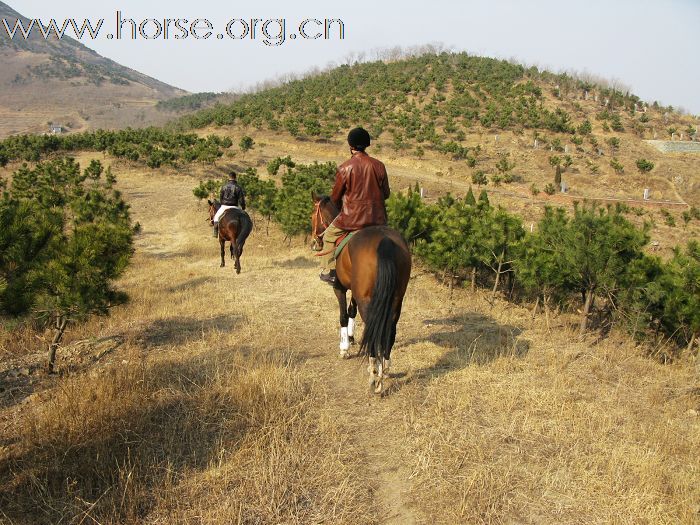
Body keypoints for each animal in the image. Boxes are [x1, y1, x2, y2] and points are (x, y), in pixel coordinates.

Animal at [310, 192, 410, 392]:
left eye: (311, 217)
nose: (314, 242)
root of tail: (385, 241)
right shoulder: (355, 291)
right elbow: (351, 311)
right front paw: (351, 336)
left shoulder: (339, 288)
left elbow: (343, 315)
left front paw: (344, 347)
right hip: (396, 300)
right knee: (390, 330)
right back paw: (385, 369)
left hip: (367, 299)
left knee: (372, 327)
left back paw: (374, 374)